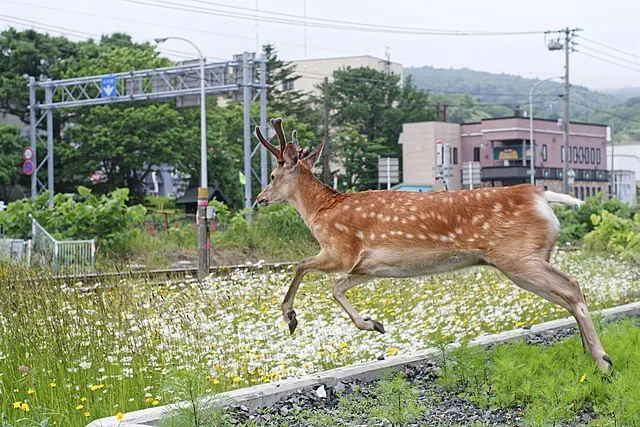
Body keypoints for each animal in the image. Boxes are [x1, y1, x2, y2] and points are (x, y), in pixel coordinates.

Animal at [256, 117, 616, 372]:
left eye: (272, 176)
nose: (259, 199)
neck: (320, 211)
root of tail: (542, 195)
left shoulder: (341, 249)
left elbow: (302, 266)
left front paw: (290, 317)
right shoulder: (368, 267)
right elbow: (337, 288)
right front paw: (373, 324)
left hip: (517, 256)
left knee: (572, 287)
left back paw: (602, 360)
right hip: (525, 261)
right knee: (568, 295)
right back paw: (592, 354)